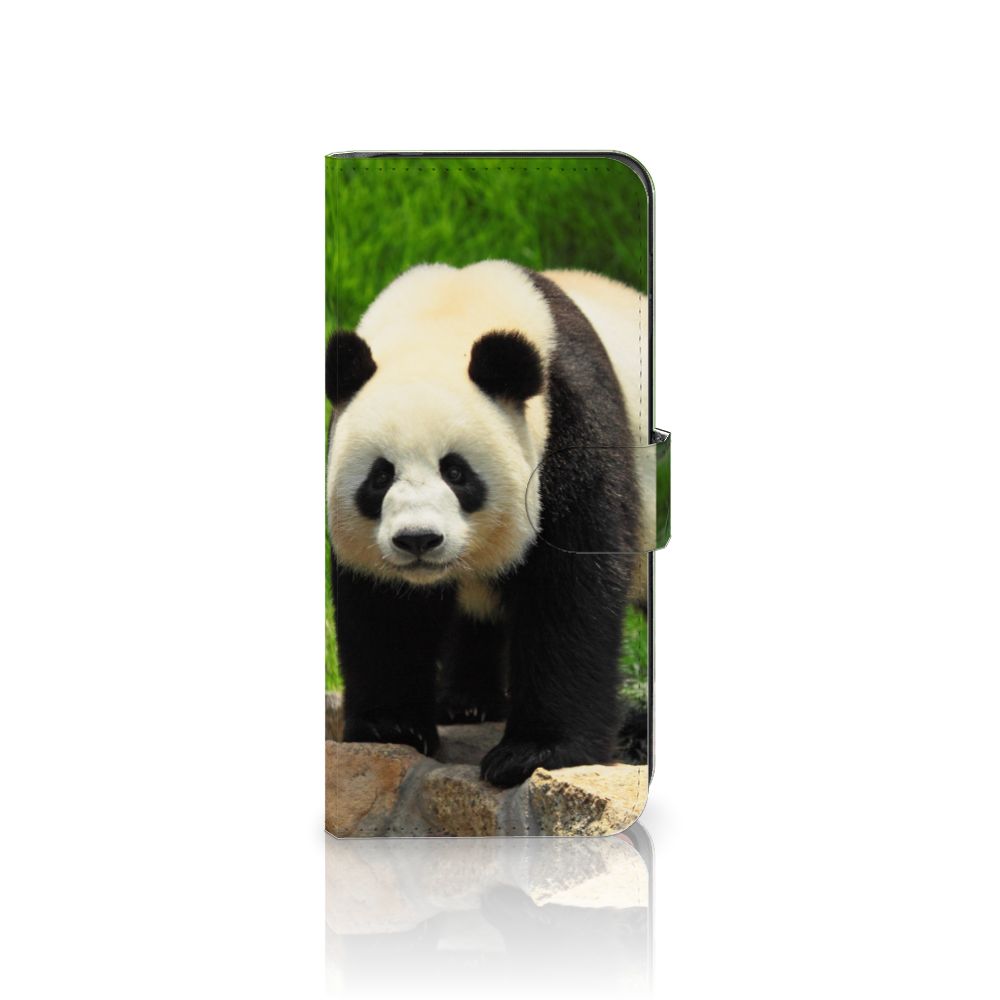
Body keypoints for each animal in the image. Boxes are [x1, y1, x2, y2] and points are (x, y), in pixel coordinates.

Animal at [326, 260, 651, 788]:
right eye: (380, 476)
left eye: (456, 472)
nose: (418, 540)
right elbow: (384, 607)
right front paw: (390, 726)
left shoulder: (571, 424)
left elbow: (571, 590)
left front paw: (534, 752)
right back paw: (467, 703)